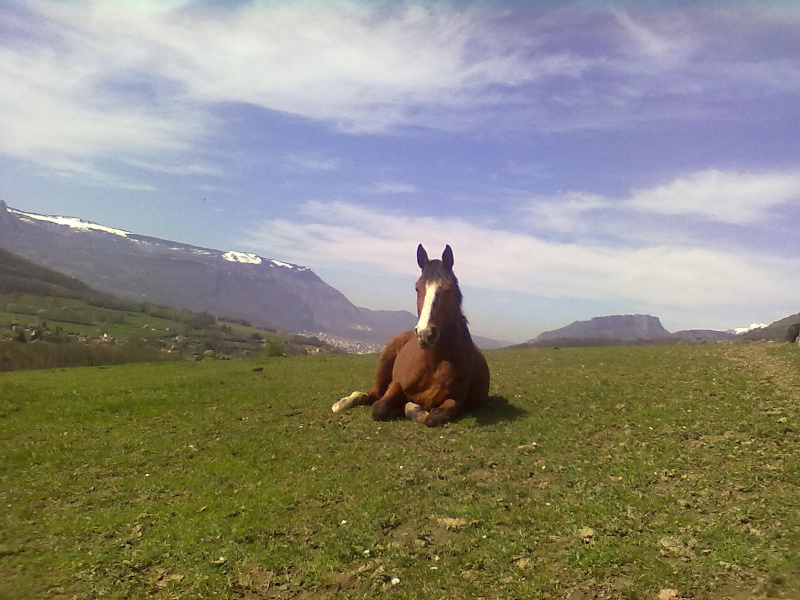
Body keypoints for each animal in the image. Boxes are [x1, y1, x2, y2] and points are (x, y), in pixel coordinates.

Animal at [330, 244, 488, 426]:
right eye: (417, 287)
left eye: (449, 288)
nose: (425, 333)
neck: (434, 363)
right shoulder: (397, 384)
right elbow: (379, 408)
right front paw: (407, 407)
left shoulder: (456, 400)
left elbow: (432, 417)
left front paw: (411, 407)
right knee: (372, 395)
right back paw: (341, 404)